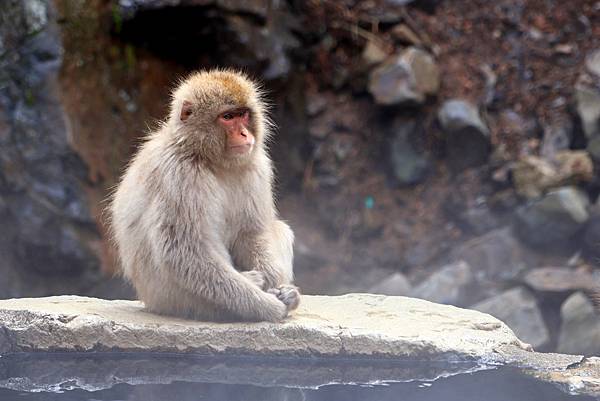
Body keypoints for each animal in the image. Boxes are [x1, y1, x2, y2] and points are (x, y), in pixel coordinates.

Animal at [109, 68, 300, 318]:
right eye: (227, 117)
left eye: (242, 114)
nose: (244, 133)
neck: (208, 159)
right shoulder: (182, 174)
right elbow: (184, 251)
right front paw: (268, 306)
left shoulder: (257, 166)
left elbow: (252, 233)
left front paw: (277, 286)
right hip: (179, 301)